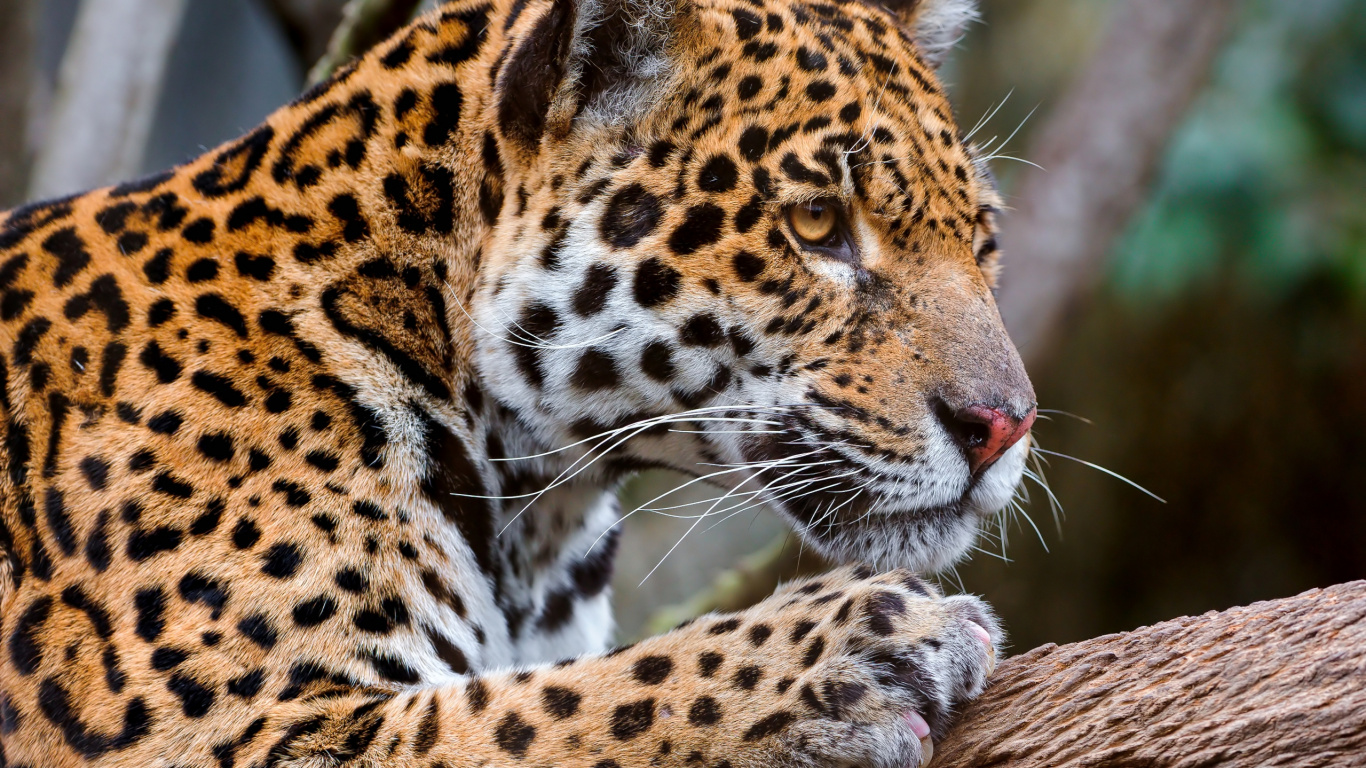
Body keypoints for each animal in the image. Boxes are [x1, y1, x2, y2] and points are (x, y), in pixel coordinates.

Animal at [0, 0, 1037, 764]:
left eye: (983, 238)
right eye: (817, 223)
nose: (1005, 426)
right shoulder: (230, 731)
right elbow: (553, 707)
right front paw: (847, 650)